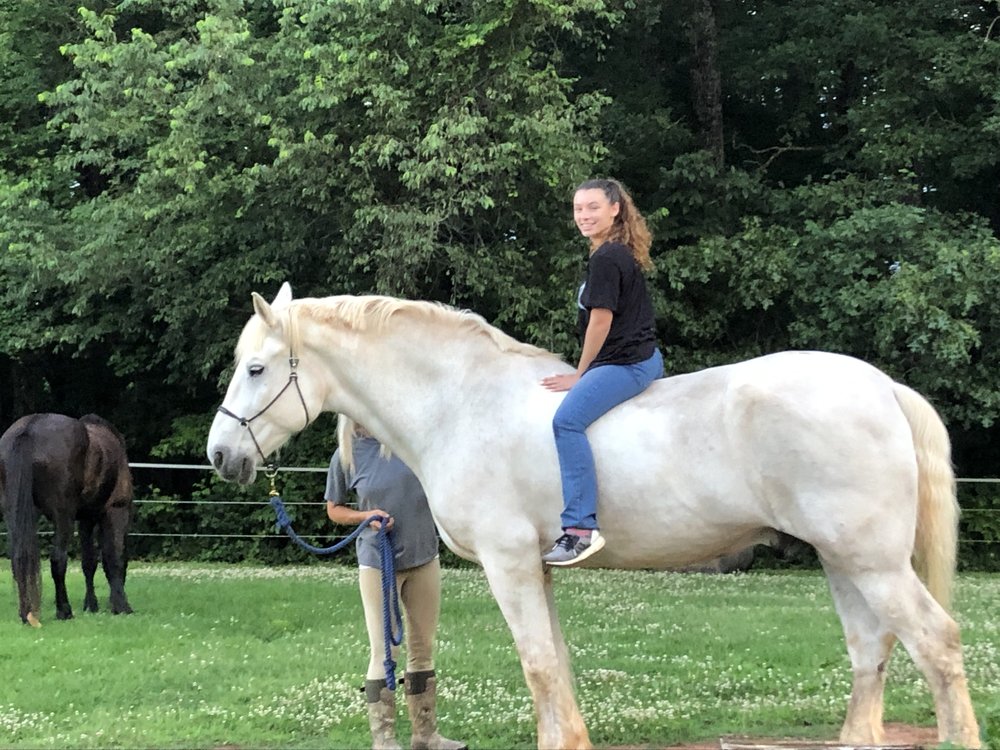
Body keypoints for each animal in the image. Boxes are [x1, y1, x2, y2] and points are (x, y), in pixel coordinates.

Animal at [0, 413, 134, 626]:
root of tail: (30, 427)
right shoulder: (117, 509)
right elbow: (114, 558)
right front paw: (122, 606)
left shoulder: (86, 519)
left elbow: (89, 562)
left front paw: (91, 605)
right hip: (63, 516)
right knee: (58, 559)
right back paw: (64, 611)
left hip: (14, 514)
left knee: (19, 559)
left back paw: (26, 614)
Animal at [206, 283, 981, 750]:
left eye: (256, 369)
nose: (220, 455)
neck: (463, 402)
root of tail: (882, 387)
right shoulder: (538, 568)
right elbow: (559, 665)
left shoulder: (510, 565)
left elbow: (539, 666)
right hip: (844, 561)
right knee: (869, 650)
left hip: (872, 564)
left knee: (937, 644)